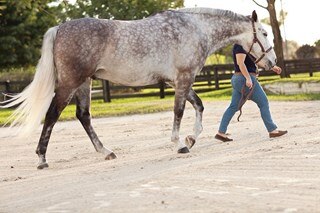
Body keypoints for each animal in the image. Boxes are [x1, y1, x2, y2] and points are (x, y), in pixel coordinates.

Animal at [0, 7, 276, 170]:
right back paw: (42, 159)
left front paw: (192, 138)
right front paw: (180, 143)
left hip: (84, 83)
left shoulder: (178, 82)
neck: (194, 29)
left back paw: (106, 152)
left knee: (83, 116)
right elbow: (179, 112)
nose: (272, 63)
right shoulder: (183, 78)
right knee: (52, 115)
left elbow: (198, 106)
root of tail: (59, 28)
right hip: (70, 83)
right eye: (263, 33)